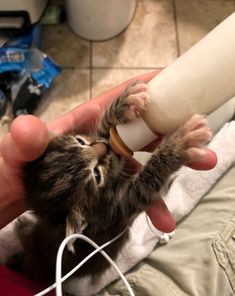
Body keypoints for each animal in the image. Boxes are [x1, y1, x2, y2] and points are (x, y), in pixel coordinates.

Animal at [7, 81, 212, 284]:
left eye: (81, 141)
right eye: (97, 176)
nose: (105, 147)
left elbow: (105, 130)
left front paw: (125, 105)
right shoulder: (116, 210)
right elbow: (144, 184)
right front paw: (176, 147)